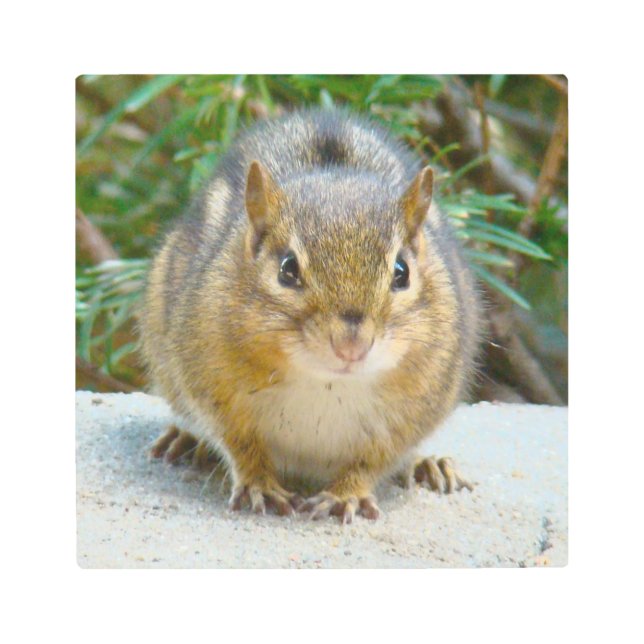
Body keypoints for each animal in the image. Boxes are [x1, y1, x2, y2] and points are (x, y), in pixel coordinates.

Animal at [139, 108, 482, 524]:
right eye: (287, 269)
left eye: (402, 272)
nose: (351, 346)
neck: (326, 383)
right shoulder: (212, 385)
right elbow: (240, 443)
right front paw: (259, 484)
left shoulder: (415, 408)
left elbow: (373, 460)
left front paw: (346, 494)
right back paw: (186, 440)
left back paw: (428, 466)